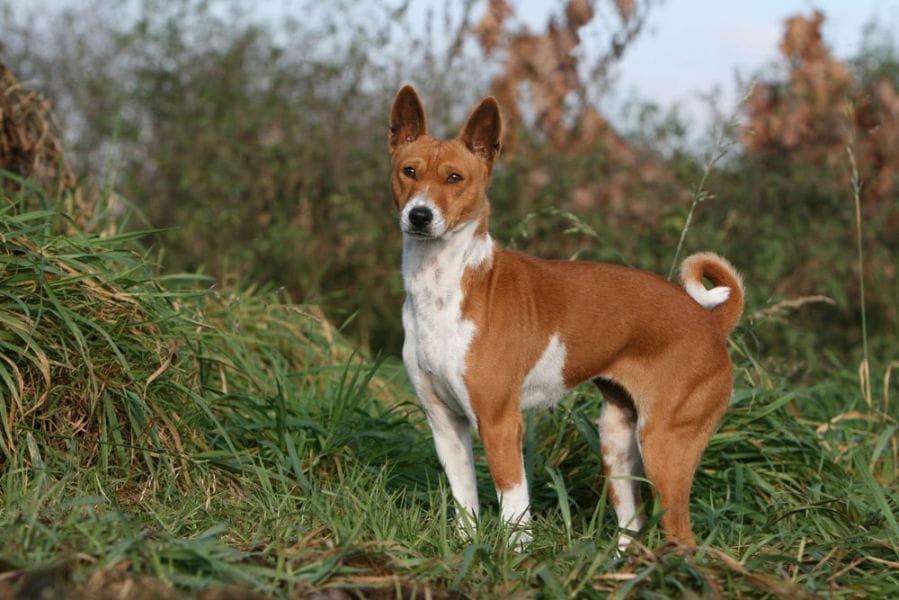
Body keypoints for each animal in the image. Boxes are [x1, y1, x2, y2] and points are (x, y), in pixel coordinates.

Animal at [388, 84, 744, 548]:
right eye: (409, 171)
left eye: (454, 178)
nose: (420, 215)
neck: (442, 290)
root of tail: (711, 323)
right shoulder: (446, 425)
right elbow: (466, 507)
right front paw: (467, 552)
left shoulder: (500, 423)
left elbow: (515, 513)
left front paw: (516, 557)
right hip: (617, 445)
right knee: (632, 528)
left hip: (665, 447)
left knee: (683, 539)